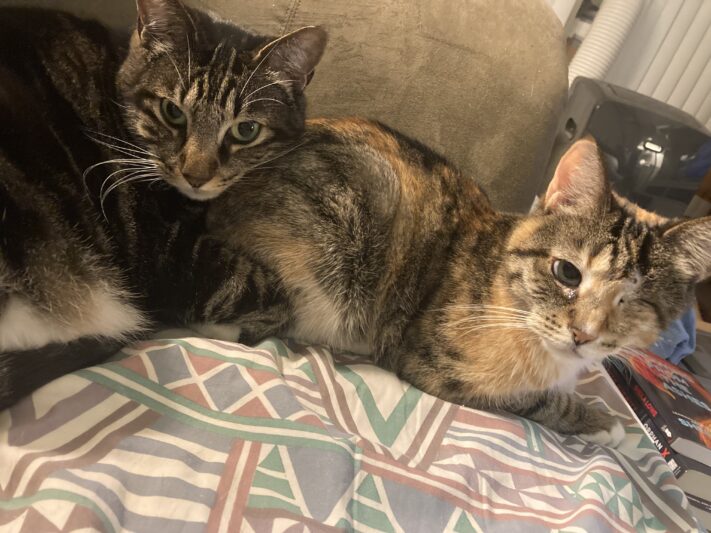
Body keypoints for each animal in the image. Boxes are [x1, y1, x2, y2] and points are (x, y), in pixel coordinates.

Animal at [206, 120, 711, 444]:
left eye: (635, 301)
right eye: (568, 272)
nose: (583, 335)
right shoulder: (433, 362)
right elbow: (528, 398)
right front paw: (597, 420)